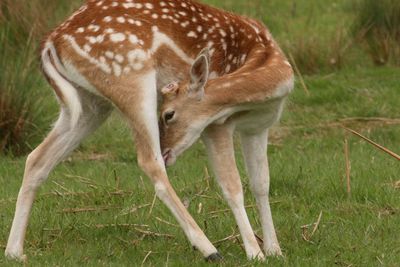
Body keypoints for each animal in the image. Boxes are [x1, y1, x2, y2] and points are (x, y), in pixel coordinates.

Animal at [3, 0, 294, 264]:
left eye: (168, 114)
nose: (168, 150)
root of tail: (51, 41)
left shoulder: (258, 127)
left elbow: (261, 184)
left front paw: (275, 250)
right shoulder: (216, 126)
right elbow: (232, 185)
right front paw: (255, 253)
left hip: (89, 104)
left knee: (36, 158)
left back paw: (15, 252)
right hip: (130, 77)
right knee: (150, 163)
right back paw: (209, 249)